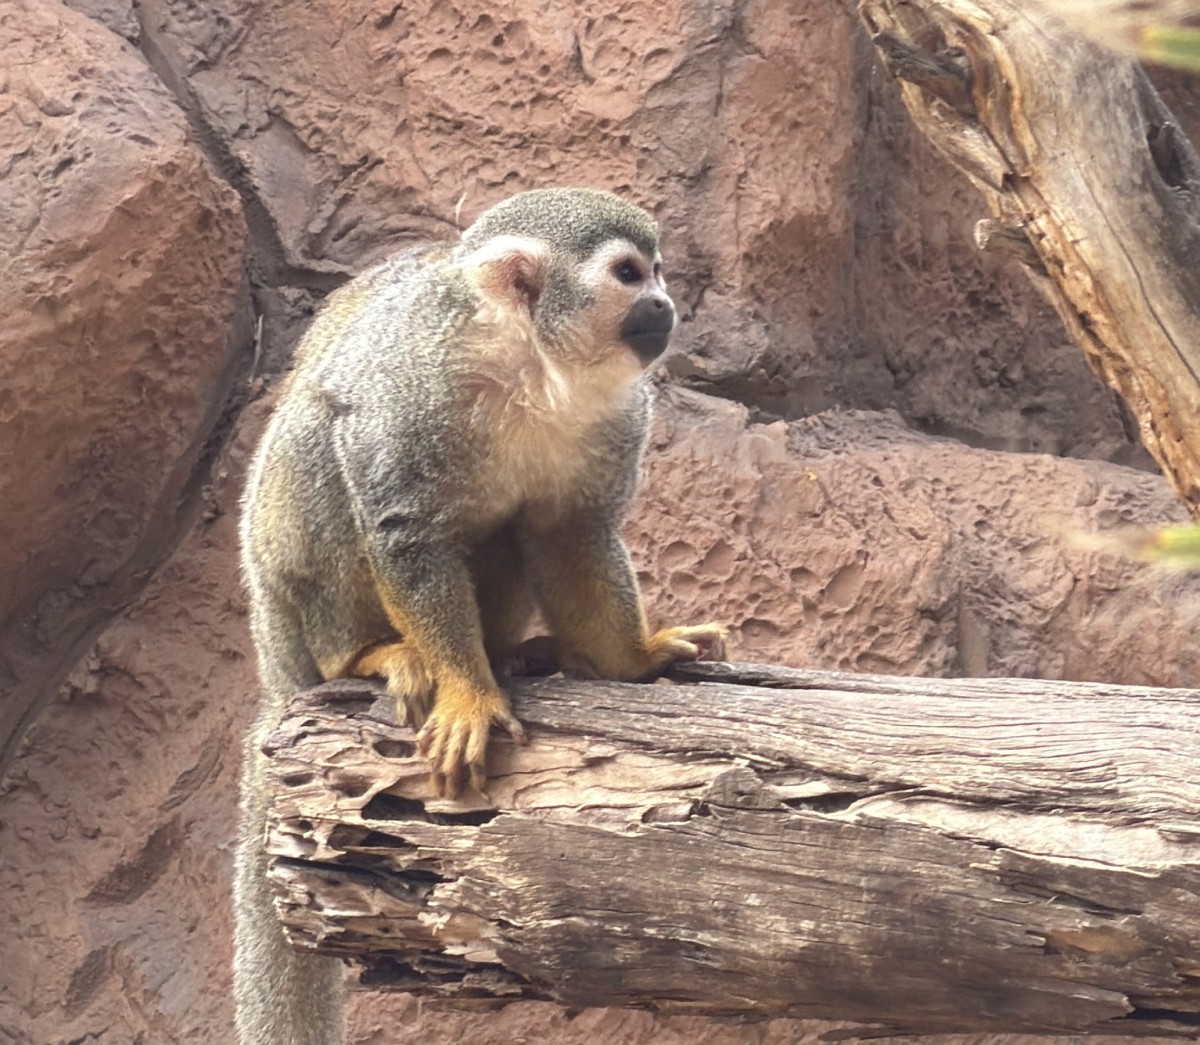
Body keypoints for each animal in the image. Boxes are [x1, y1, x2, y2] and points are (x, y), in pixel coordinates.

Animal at [234, 187, 727, 1045]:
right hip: (281, 594)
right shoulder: (415, 384)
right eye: (629, 274)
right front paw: (468, 691)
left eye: (659, 269)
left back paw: (514, 652)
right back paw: (368, 654)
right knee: (320, 433)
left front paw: (631, 656)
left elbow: (568, 530)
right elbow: (401, 520)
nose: (665, 304)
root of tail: (274, 665)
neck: (531, 364)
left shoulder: (619, 412)